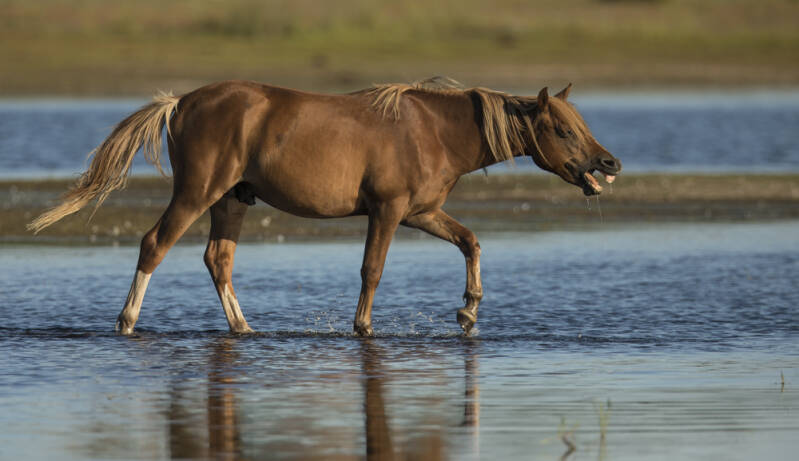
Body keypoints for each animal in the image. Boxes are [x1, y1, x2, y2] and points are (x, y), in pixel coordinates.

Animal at [28, 77, 621, 336]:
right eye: (563, 129)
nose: (608, 162)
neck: (433, 130)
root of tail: (180, 103)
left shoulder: (420, 212)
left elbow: (471, 242)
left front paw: (469, 309)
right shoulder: (388, 211)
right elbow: (371, 270)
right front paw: (363, 328)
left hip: (230, 201)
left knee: (218, 261)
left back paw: (244, 329)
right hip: (195, 193)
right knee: (155, 246)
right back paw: (127, 322)